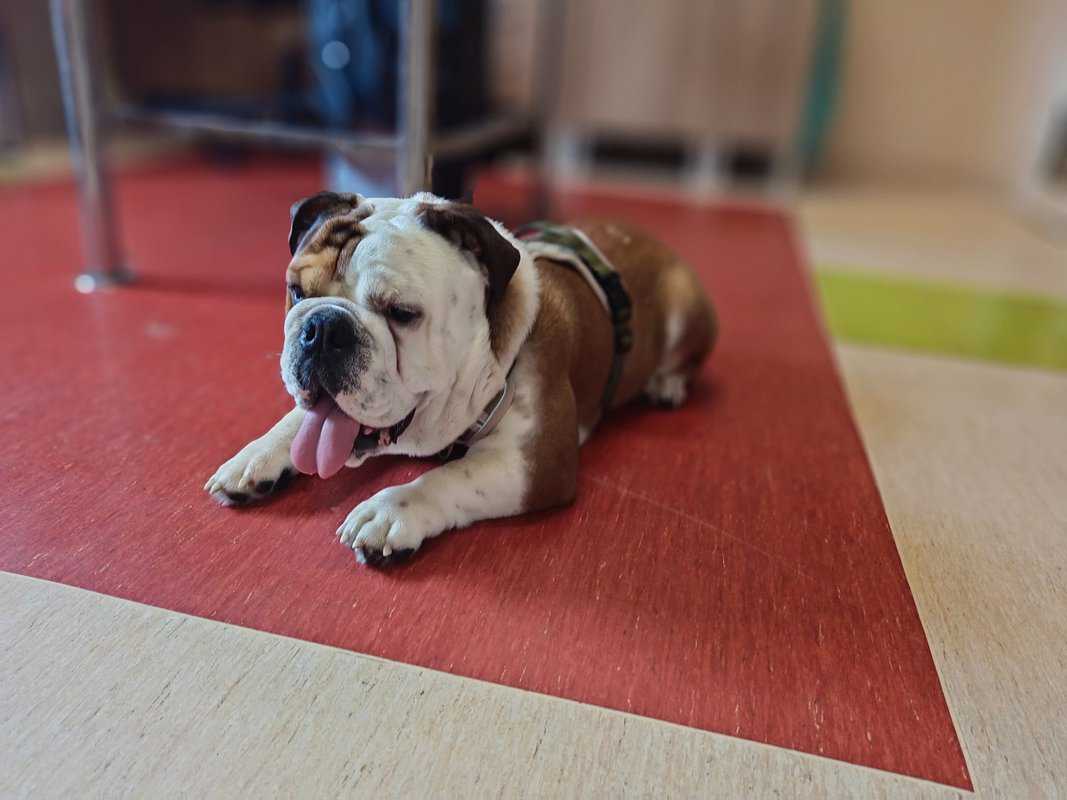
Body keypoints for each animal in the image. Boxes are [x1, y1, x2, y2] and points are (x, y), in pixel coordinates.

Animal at [205, 191, 716, 565]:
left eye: (402, 313)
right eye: (296, 292)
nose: (322, 328)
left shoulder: (536, 464)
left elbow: (450, 476)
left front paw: (390, 511)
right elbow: (301, 422)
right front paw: (258, 455)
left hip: (686, 307)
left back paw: (667, 384)